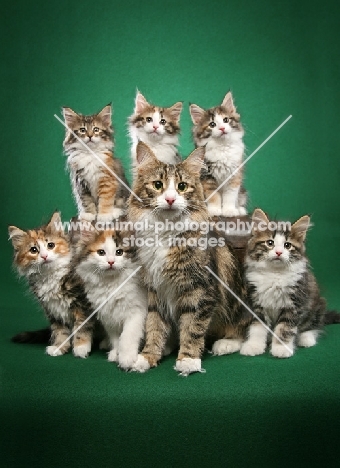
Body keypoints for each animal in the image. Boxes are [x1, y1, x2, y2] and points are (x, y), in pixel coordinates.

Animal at [75, 227, 147, 370]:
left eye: (119, 252)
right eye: (101, 252)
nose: (111, 262)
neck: (111, 284)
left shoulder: (136, 313)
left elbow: (127, 336)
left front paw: (126, 358)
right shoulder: (108, 317)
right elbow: (115, 338)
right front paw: (115, 353)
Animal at [126, 141, 251, 374]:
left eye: (182, 186)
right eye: (158, 185)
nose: (170, 199)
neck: (164, 233)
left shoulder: (200, 291)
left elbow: (192, 328)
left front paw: (188, 360)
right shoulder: (156, 290)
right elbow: (154, 326)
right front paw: (147, 357)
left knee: (242, 330)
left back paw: (224, 344)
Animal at [240, 208, 326, 358]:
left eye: (287, 245)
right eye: (270, 243)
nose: (279, 252)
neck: (275, 274)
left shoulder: (294, 304)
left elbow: (284, 328)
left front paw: (281, 349)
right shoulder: (256, 303)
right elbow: (257, 327)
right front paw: (254, 345)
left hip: (317, 304)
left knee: (312, 326)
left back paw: (306, 338)